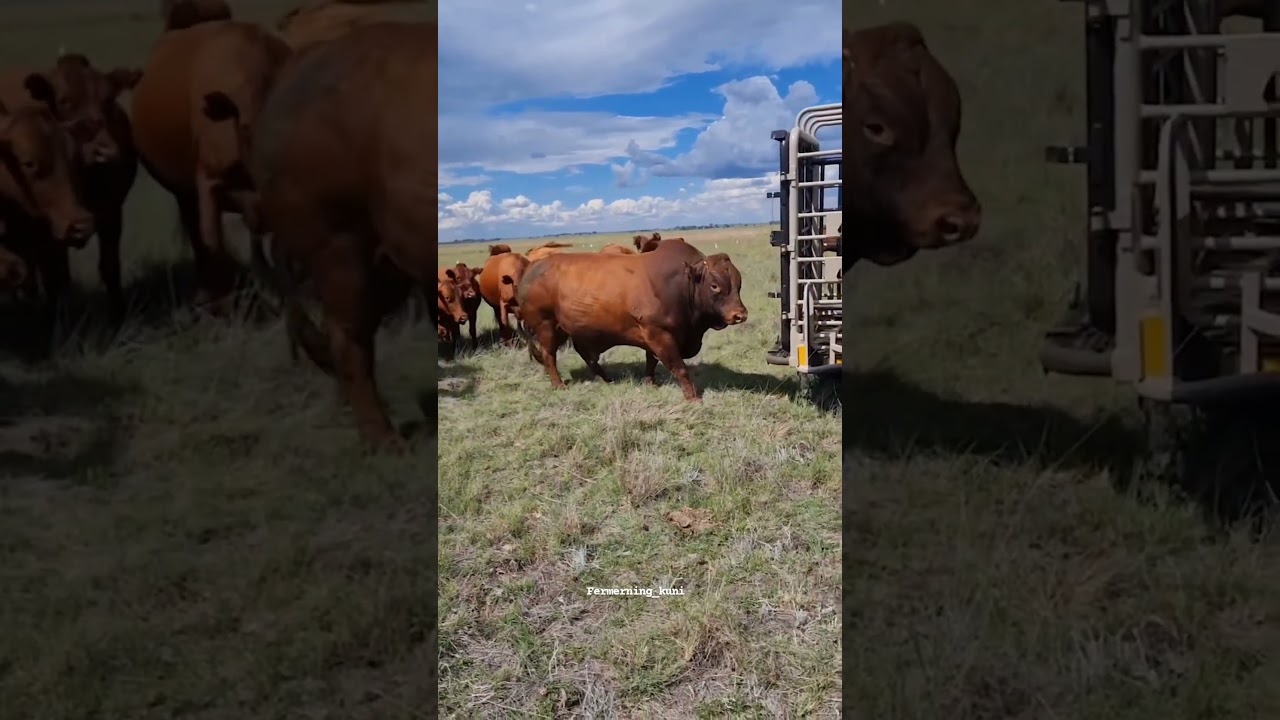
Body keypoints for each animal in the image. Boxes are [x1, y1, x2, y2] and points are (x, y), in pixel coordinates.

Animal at [1, 54, 142, 327]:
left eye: (109, 99)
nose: (104, 151)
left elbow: (109, 267)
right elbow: (54, 278)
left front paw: (118, 318)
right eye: (65, 101)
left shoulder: (111, 215)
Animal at [516, 239, 748, 400]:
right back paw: (559, 385)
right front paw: (692, 397)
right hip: (547, 327)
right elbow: (680, 368)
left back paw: (604, 379)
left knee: (586, 355)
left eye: (738, 283)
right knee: (549, 356)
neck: (682, 285)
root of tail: (532, 269)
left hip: (577, 330)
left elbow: (651, 362)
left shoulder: (655, 337)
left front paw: (650, 383)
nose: (739, 314)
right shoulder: (660, 334)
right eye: (714, 285)